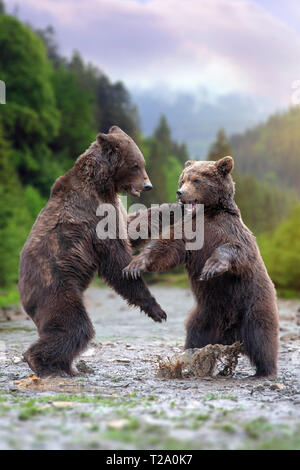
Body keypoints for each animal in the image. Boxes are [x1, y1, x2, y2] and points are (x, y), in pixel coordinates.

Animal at [18, 126, 169, 378]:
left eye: (142, 163)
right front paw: (156, 309)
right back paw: (42, 363)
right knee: (76, 327)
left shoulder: (114, 208)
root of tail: (22, 291)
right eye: (136, 165)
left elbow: (132, 226)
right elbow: (116, 260)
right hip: (57, 288)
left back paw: (66, 367)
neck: (103, 184)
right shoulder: (95, 217)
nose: (147, 185)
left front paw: (174, 207)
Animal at [124, 158, 278, 378]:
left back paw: (265, 370)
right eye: (183, 178)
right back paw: (190, 360)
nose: (180, 192)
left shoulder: (229, 231)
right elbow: (166, 247)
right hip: (206, 313)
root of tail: (230, 334)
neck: (208, 213)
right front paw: (136, 265)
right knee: (195, 335)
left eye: (196, 180)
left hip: (252, 304)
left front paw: (212, 267)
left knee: (261, 337)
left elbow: (237, 250)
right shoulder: (190, 233)